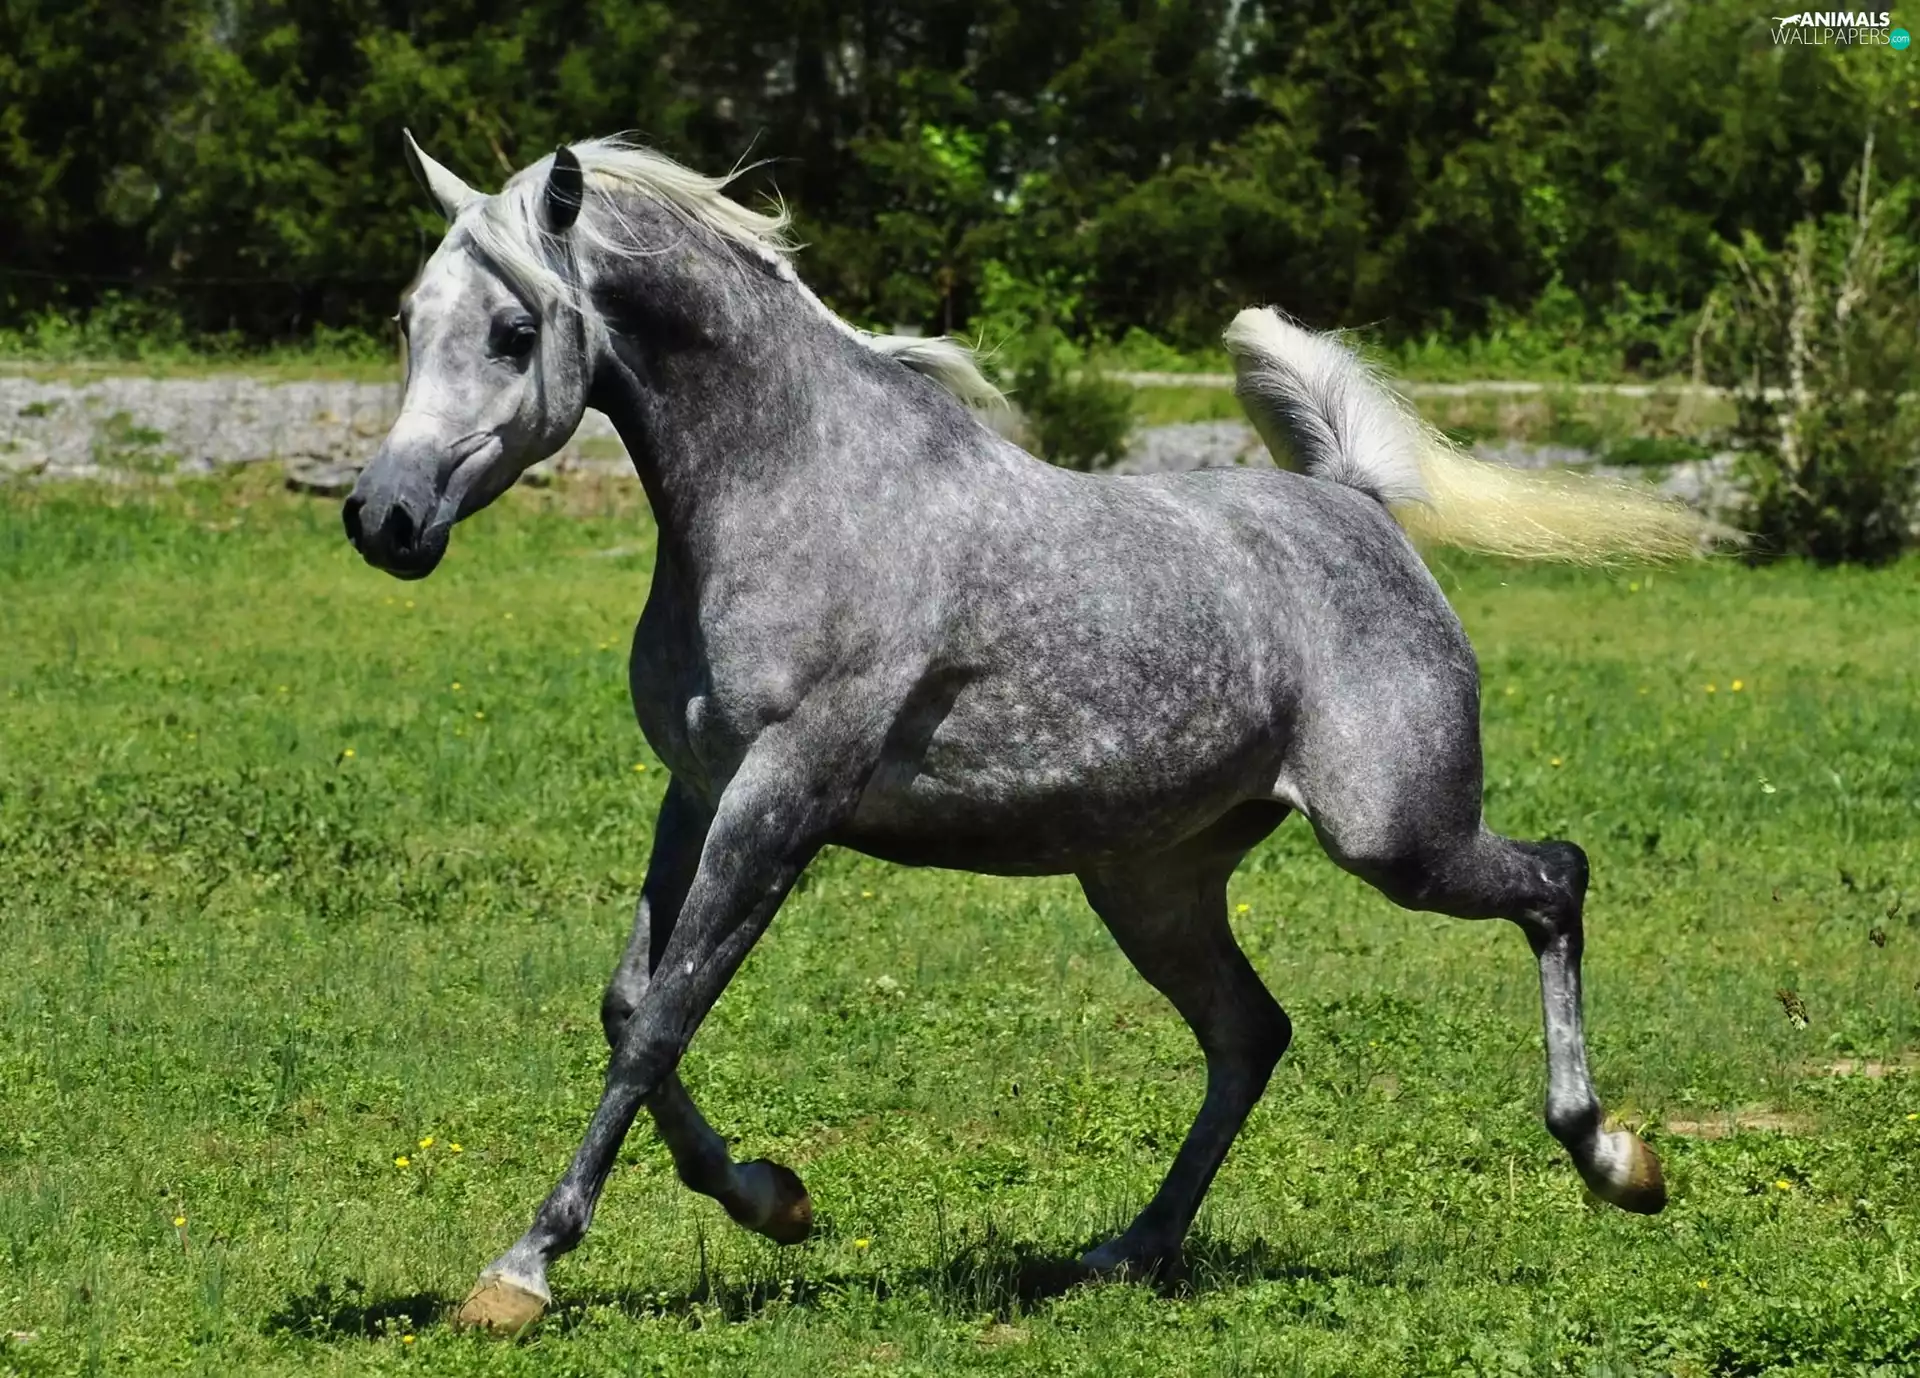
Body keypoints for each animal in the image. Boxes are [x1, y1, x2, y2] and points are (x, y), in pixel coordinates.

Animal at [344, 133, 1702, 1331]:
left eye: (516, 332)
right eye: (409, 319)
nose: (383, 518)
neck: (795, 490)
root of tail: (1358, 508)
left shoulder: (783, 797)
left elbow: (664, 1017)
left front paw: (523, 1270)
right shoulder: (698, 791)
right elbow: (630, 1002)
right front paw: (774, 1201)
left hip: (1398, 839)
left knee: (1556, 881)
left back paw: (1615, 1159)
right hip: (1153, 883)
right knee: (1251, 1034)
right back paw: (1128, 1249)